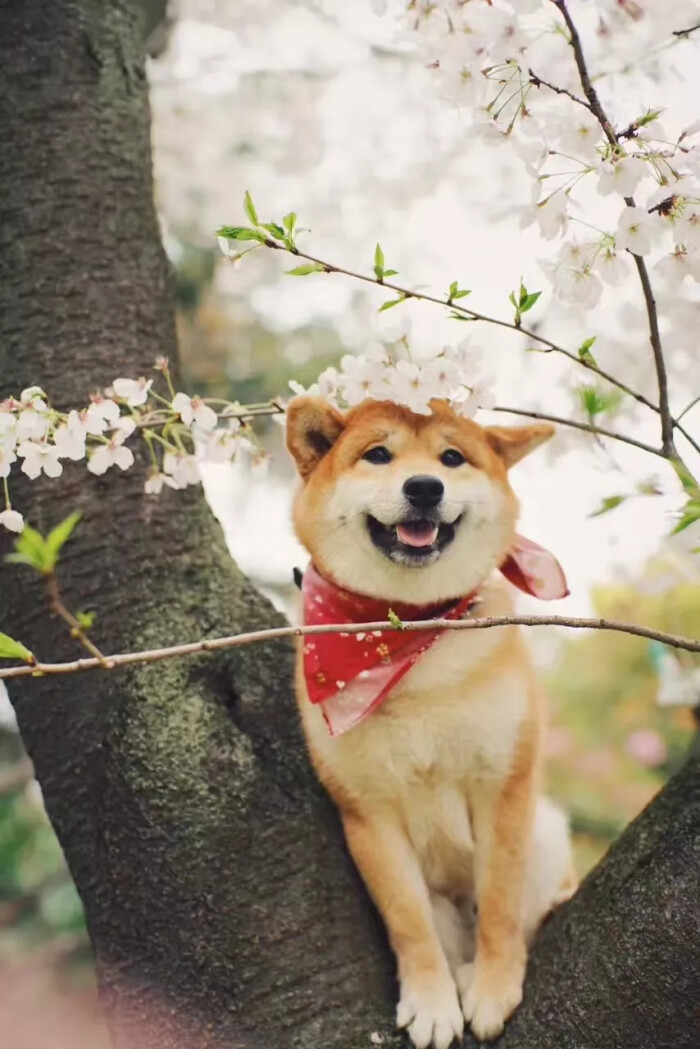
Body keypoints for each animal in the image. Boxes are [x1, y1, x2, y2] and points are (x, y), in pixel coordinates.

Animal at [285, 396, 575, 1044]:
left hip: (546, 833)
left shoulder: (502, 787)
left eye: (451, 458)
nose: (423, 487)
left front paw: (492, 987)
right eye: (377, 454)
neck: (409, 633)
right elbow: (409, 922)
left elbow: (499, 902)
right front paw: (431, 1002)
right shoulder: (369, 814)